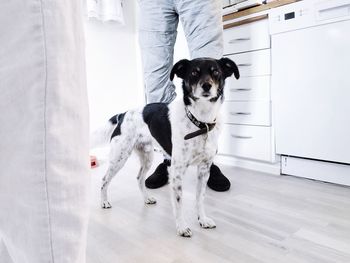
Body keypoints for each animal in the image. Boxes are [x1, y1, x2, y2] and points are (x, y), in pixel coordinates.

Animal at [92, 57, 241, 237]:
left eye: (216, 72)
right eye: (194, 72)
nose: (207, 86)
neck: (200, 121)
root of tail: (123, 114)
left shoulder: (204, 170)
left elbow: (200, 198)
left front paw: (202, 220)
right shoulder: (177, 171)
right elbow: (179, 203)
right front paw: (182, 227)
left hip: (147, 157)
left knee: (139, 178)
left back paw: (146, 198)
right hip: (119, 157)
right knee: (104, 179)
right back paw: (104, 201)